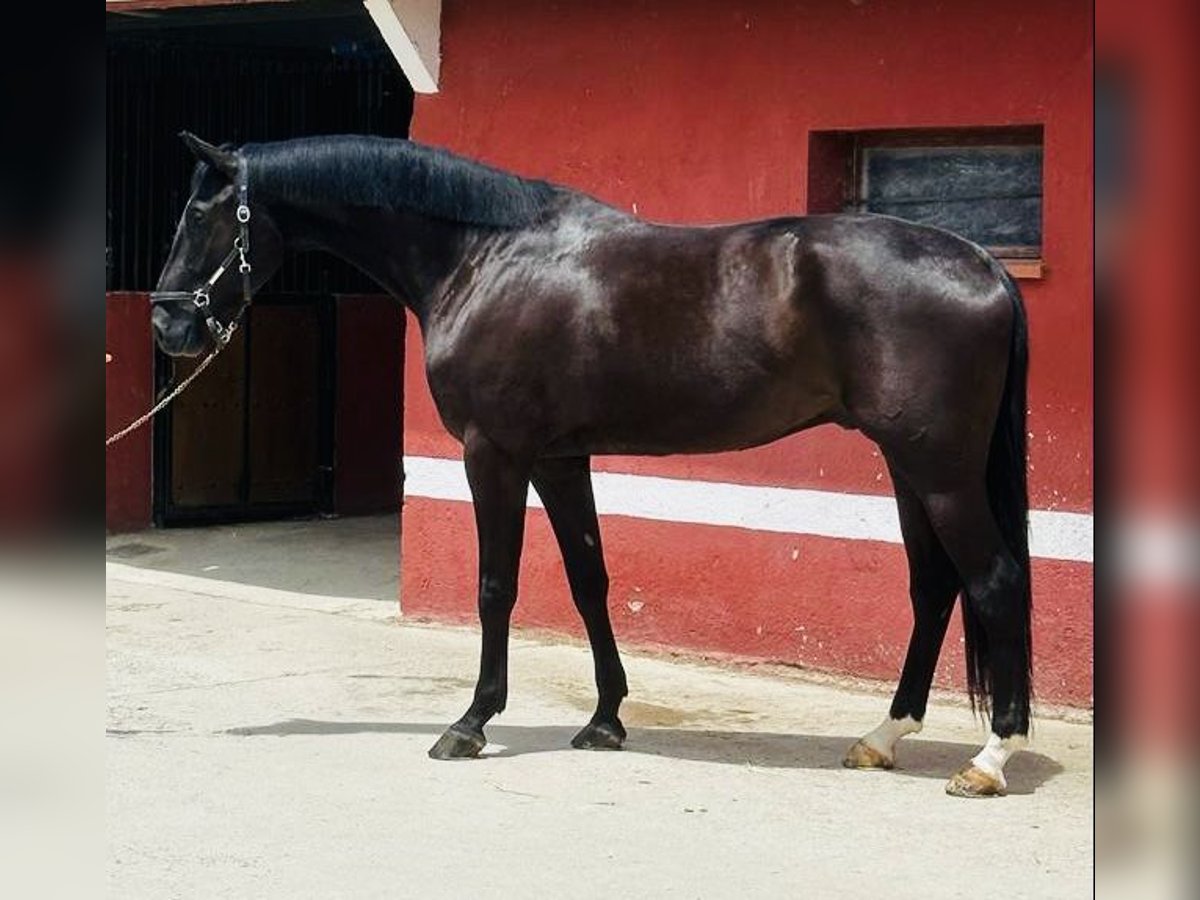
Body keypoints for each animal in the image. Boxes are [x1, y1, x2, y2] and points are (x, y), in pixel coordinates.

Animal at [150, 133, 1032, 796]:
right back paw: (884, 736)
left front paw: (470, 724)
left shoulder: (493, 452)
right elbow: (588, 579)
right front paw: (606, 719)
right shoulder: (561, 458)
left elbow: (496, 587)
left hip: (939, 469)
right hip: (909, 468)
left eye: (200, 215)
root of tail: (983, 262)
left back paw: (990, 757)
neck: (483, 256)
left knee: (992, 581)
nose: (167, 326)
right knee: (934, 586)